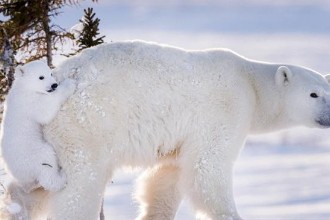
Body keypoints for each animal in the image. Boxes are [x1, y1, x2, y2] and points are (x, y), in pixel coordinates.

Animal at [32, 40, 330, 219]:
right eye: (314, 94)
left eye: (328, 91)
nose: (329, 116)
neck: (251, 84)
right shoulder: (224, 110)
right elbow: (207, 170)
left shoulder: (178, 139)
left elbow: (166, 178)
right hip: (85, 127)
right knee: (80, 185)